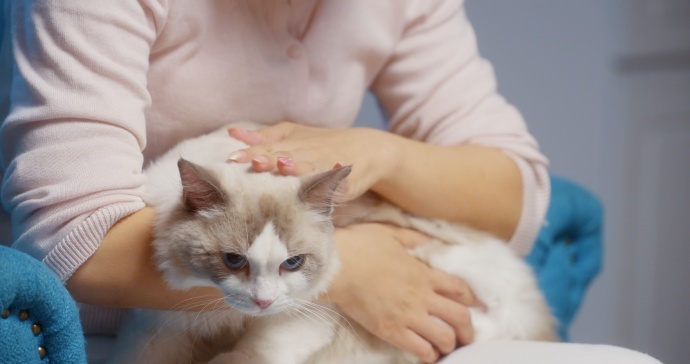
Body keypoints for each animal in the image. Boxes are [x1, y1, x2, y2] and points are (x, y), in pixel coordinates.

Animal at [111, 123, 552, 364]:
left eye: (292, 263)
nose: (263, 301)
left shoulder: (309, 312)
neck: (227, 320)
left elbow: (252, 353)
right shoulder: (158, 327)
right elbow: (141, 355)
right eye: (233, 260)